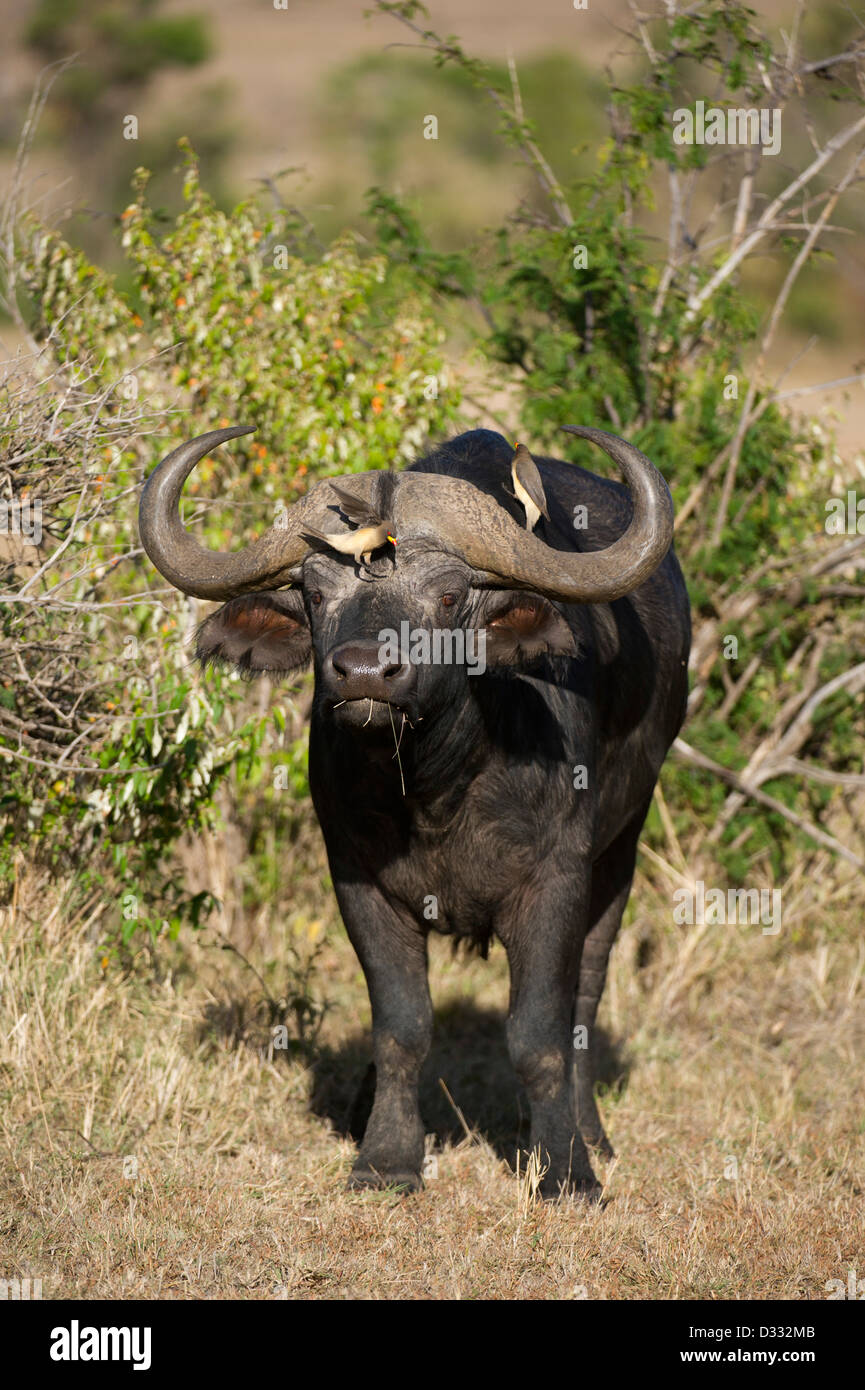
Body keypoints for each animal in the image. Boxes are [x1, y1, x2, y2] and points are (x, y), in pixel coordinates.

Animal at [139, 423, 690, 1198]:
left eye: (451, 594)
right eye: (315, 593)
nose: (367, 672)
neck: (439, 788)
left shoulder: (554, 881)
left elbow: (540, 1034)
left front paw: (564, 1170)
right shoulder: (360, 883)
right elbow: (402, 1023)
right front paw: (386, 1157)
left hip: (622, 851)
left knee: (587, 992)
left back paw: (589, 1134)